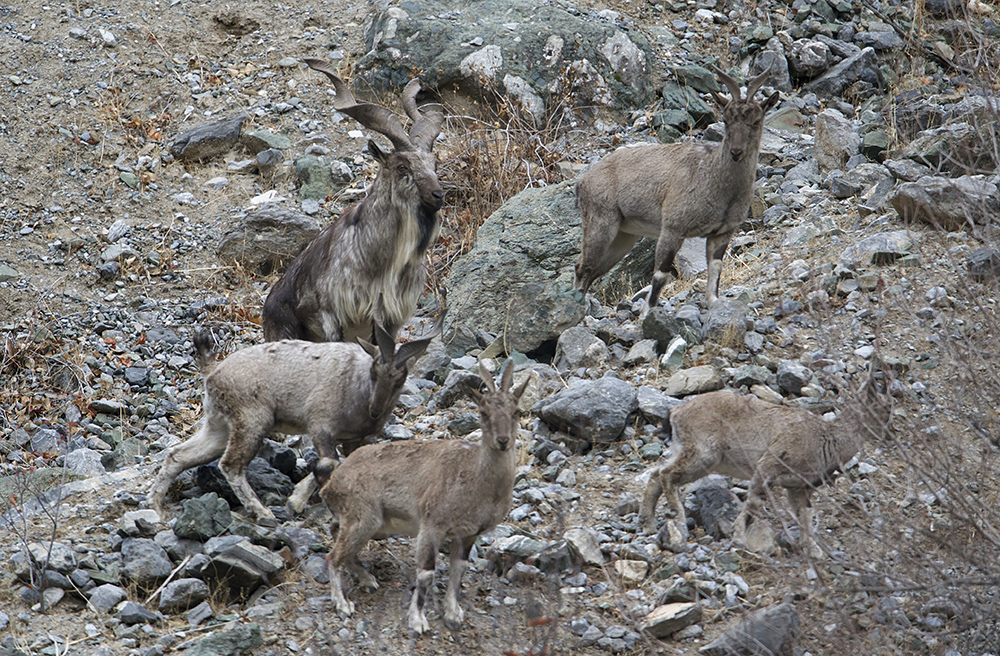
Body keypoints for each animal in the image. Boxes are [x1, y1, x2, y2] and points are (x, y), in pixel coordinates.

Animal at [576, 69, 776, 310]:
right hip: (600, 222)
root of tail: (583, 181)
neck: (716, 181)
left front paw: (713, 303)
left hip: (624, 236)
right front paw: (647, 314)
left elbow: (715, 269)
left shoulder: (722, 233)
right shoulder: (673, 228)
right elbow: (660, 276)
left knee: (592, 270)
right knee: (583, 268)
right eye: (726, 120)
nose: (736, 152)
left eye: (755, 121)